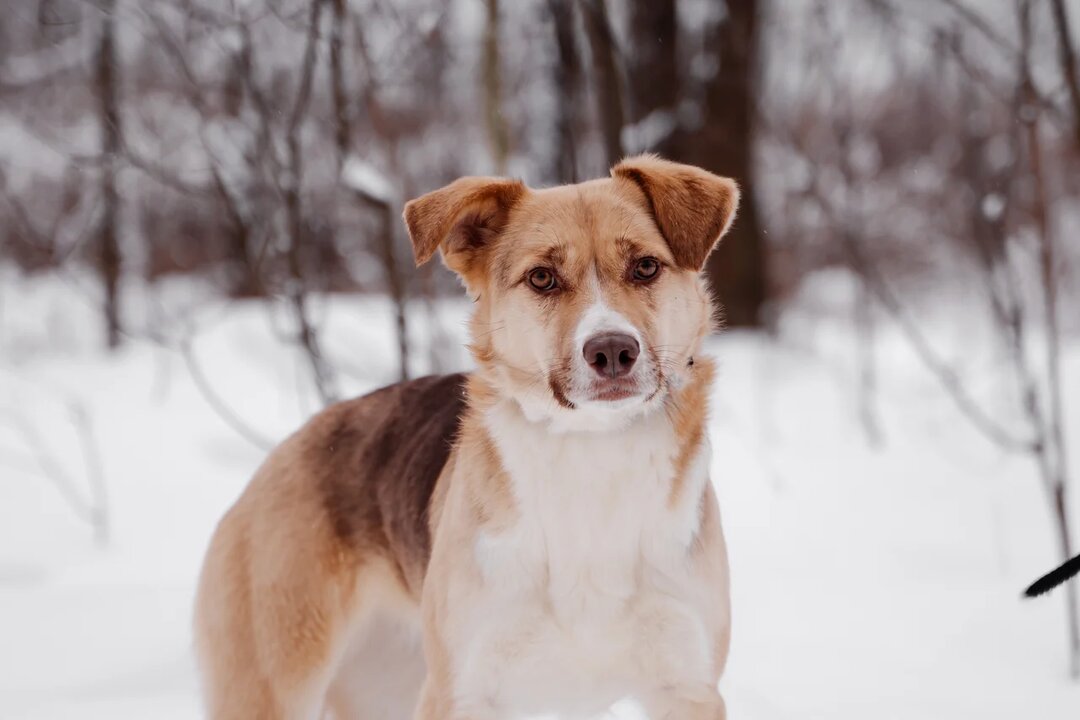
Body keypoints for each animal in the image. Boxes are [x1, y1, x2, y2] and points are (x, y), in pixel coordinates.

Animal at [194, 157, 743, 720]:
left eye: (646, 267)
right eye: (542, 278)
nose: (612, 351)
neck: (593, 452)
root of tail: (279, 456)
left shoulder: (688, 688)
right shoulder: (460, 692)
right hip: (274, 684)